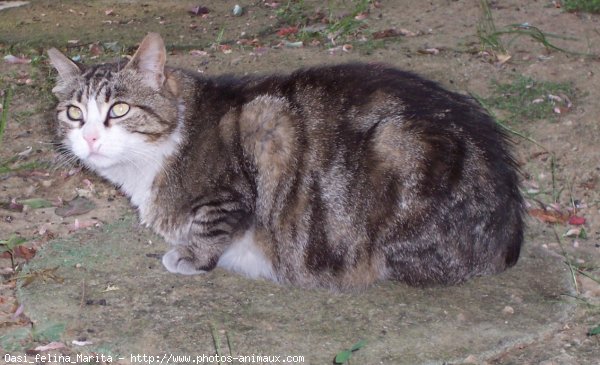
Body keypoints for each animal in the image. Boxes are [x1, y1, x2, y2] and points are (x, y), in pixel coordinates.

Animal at [48, 33, 524, 290]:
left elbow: (213, 225)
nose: (90, 138)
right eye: (74, 114)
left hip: (399, 148)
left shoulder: (252, 148)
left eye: (119, 110)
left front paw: (192, 257)